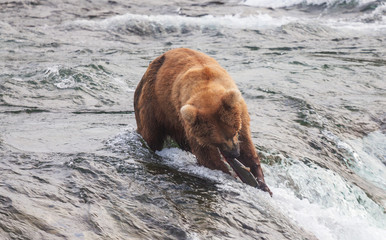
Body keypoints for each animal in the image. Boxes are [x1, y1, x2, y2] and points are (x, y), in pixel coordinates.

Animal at [135, 47, 272, 195]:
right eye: (217, 141)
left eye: (234, 132)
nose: (234, 153)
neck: (205, 83)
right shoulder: (189, 125)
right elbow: (207, 156)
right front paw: (230, 174)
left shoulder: (240, 113)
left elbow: (247, 146)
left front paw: (261, 182)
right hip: (153, 104)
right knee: (151, 134)